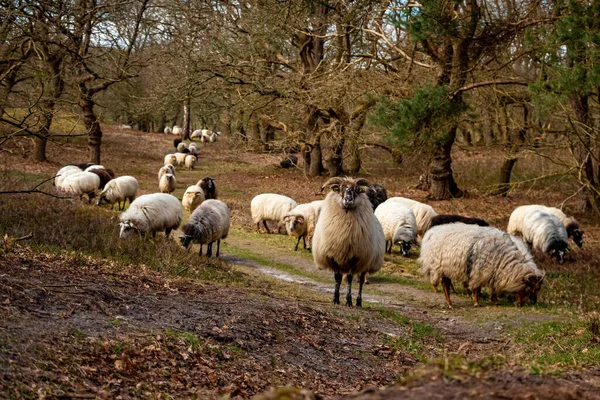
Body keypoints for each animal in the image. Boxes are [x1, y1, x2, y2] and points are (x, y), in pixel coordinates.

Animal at [314, 177, 384, 308]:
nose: (348, 199)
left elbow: (350, 278)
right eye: (340, 188)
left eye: (357, 189)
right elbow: (337, 278)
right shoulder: (334, 256)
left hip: (365, 262)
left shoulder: (354, 258)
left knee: (361, 280)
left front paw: (348, 301)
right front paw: (335, 299)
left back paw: (358, 302)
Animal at [420, 225, 548, 310]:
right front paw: (477, 302)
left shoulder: (491, 272)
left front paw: (494, 300)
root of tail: (431, 232)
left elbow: (491, 287)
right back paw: (450, 303)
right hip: (440, 267)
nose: (521, 305)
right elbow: (477, 288)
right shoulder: (479, 271)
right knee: (445, 285)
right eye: (529, 289)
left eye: (538, 289)